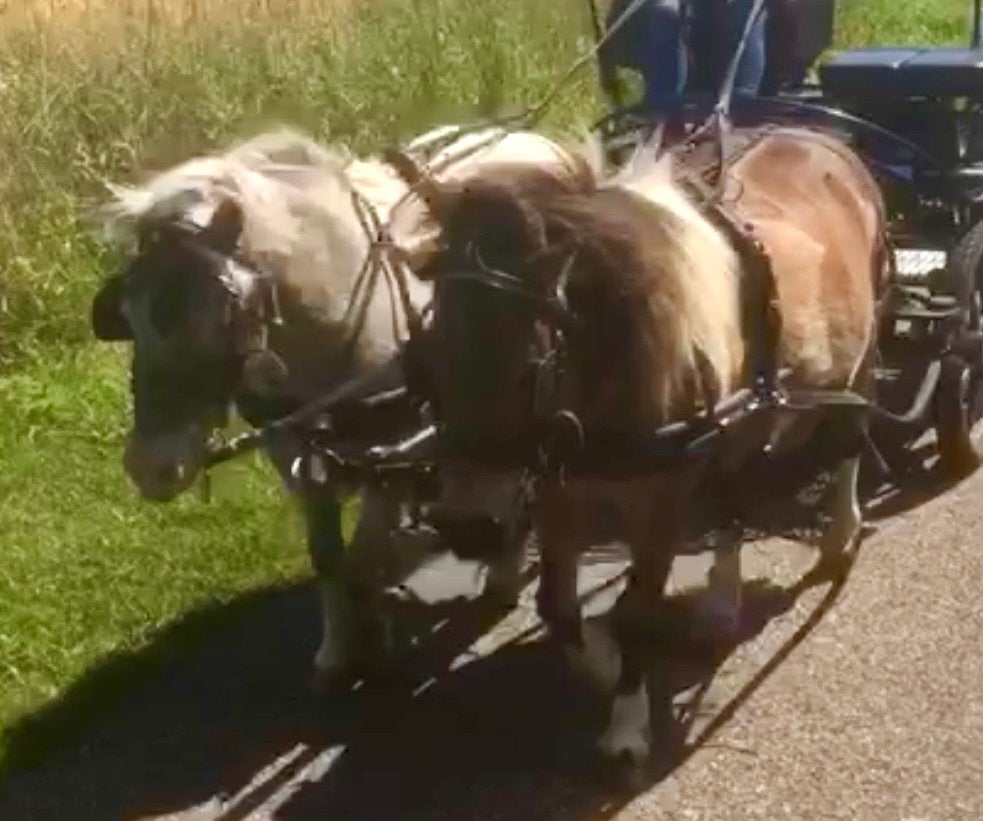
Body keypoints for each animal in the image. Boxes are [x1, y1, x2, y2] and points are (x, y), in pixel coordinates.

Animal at [88, 123, 589, 688]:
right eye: (128, 315)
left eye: (223, 313)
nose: (150, 467)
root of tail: (532, 136)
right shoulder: (299, 456)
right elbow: (329, 558)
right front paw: (339, 649)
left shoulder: (397, 455)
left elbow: (366, 560)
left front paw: (379, 636)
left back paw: (504, 568)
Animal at [386, 125, 889, 778]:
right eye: (427, 354)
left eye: (529, 369)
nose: (466, 527)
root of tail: (820, 135)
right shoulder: (560, 495)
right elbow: (556, 605)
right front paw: (599, 664)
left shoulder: (659, 506)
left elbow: (637, 611)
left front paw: (627, 724)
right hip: (743, 418)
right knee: (732, 494)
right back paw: (721, 603)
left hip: (864, 354)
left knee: (849, 442)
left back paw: (839, 533)